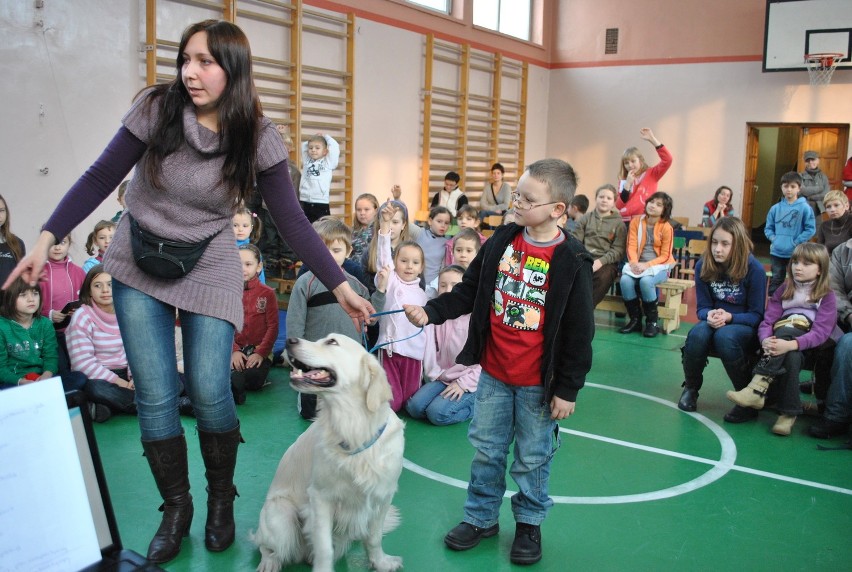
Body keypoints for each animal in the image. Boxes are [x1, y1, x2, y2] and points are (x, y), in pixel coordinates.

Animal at [251, 336, 404, 572]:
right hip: (281, 515)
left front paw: (380, 562)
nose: (289, 340)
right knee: (265, 545)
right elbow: (324, 548)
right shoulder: (321, 498)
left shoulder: (383, 495)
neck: (353, 429)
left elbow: (374, 538)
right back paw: (270, 562)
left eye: (332, 342)